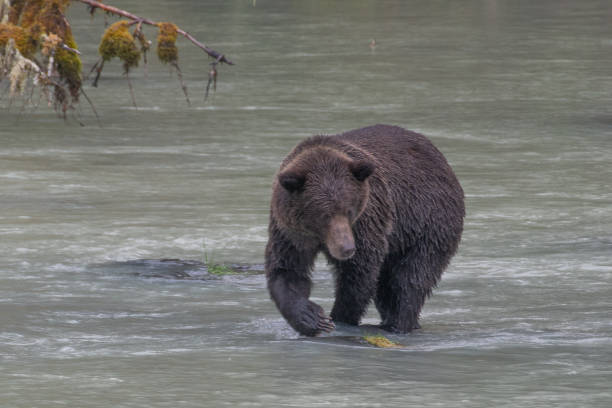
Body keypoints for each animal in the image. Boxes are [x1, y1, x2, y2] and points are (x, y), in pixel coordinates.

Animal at [264, 126, 464, 336]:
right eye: (324, 215)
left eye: (349, 210)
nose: (347, 248)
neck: (319, 237)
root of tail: (443, 161)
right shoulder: (290, 230)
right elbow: (287, 269)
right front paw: (312, 318)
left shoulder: (366, 219)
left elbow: (360, 272)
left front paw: (338, 318)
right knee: (386, 284)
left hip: (427, 221)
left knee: (412, 276)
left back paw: (398, 324)